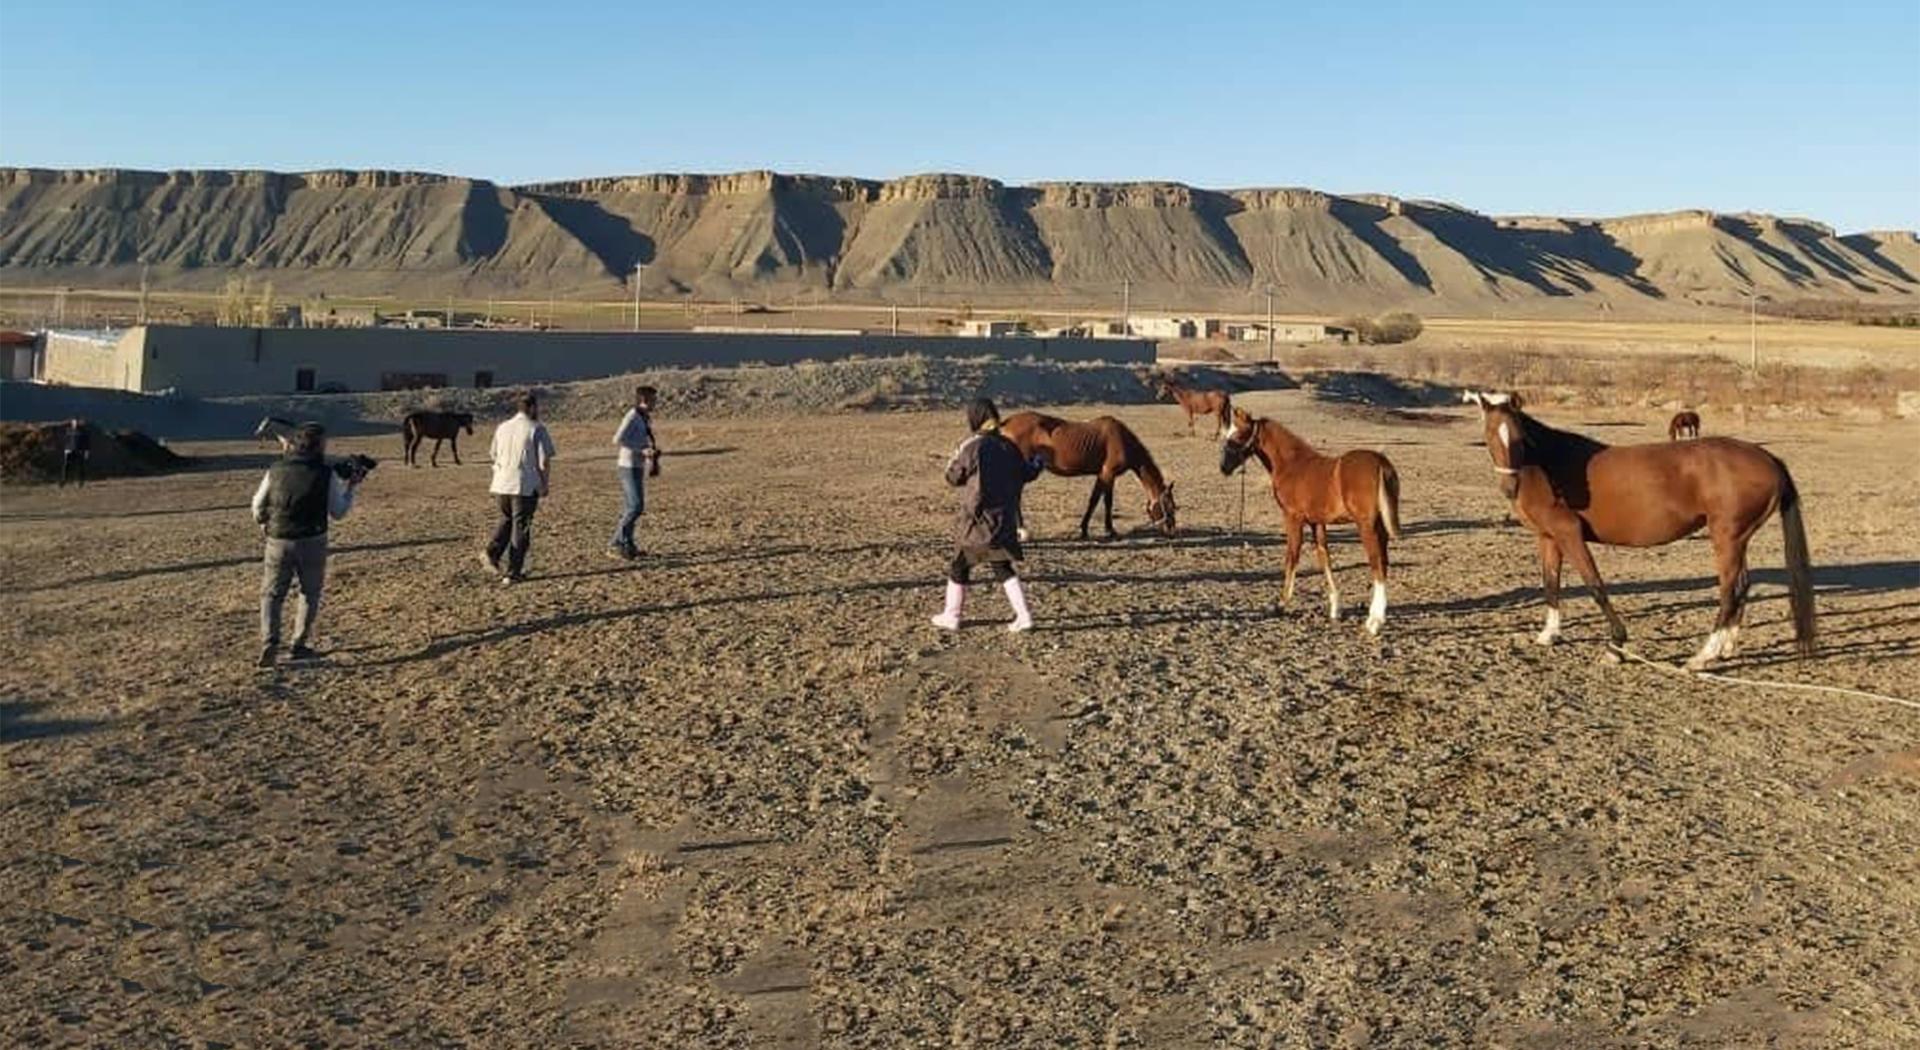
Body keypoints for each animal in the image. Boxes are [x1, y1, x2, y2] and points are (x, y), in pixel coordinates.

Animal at [1000, 412, 1176, 539]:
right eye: (1169, 506)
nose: (1171, 530)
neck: (1123, 440)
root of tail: (1007, 423)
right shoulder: (1108, 474)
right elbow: (1103, 501)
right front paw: (1108, 530)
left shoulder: (1103, 475)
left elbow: (1096, 500)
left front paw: (1086, 529)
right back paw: (1023, 531)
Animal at [1219, 406, 1402, 635]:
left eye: (1238, 435)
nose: (1224, 467)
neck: (1292, 465)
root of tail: (1381, 463)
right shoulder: (1317, 522)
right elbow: (1325, 558)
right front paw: (1335, 608)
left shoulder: (1293, 518)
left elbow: (1292, 556)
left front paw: (1281, 603)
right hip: (1380, 525)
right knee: (1383, 561)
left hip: (1366, 525)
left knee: (1377, 563)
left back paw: (1374, 622)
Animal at [1468, 392, 1813, 669]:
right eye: (1489, 434)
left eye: (1519, 437)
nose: (1509, 486)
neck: (1547, 465)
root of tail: (1768, 459)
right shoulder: (1548, 537)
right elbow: (1550, 583)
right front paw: (1548, 635)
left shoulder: (1569, 534)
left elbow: (1595, 586)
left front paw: (1616, 646)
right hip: (1737, 539)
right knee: (1742, 585)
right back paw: (1725, 648)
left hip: (1727, 537)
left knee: (1729, 591)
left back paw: (1701, 657)